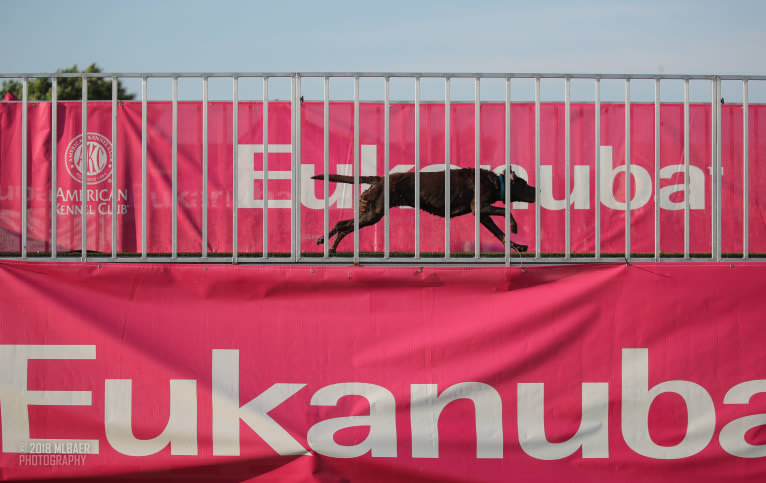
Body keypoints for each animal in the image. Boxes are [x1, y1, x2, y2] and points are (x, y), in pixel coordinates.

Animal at [310, 167, 536, 253]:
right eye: (525, 185)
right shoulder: (478, 207)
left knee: (346, 227)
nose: (538, 190)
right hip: (374, 212)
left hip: (370, 213)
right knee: (342, 224)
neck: (497, 183)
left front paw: (518, 246)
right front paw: (515, 227)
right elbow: (506, 213)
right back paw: (323, 241)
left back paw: (331, 247)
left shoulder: (483, 214)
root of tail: (379, 179)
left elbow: (500, 234)